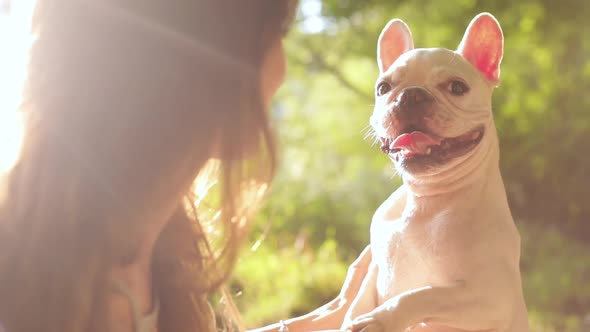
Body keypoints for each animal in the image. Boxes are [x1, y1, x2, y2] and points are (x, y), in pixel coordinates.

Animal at [342, 13, 532, 332]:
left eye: (457, 87)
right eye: (383, 88)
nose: (410, 96)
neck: (425, 199)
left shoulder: (490, 296)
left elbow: (423, 295)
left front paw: (380, 320)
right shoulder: (376, 268)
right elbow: (360, 298)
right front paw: (353, 317)